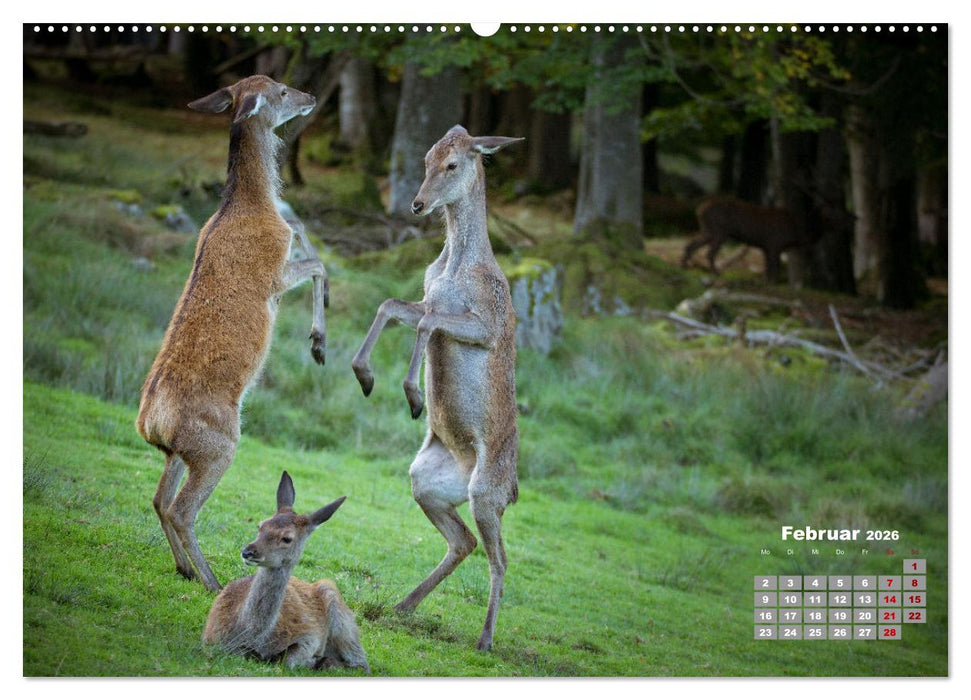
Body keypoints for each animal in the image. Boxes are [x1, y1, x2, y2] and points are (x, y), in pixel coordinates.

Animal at [136, 75, 329, 592]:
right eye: (280, 91)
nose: (310, 96)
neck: (251, 204)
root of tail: (151, 423)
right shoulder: (275, 273)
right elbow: (319, 263)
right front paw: (318, 342)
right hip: (219, 444)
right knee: (181, 509)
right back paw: (212, 581)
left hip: (177, 452)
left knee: (158, 499)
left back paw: (184, 568)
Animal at [202, 471, 369, 672]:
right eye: (261, 525)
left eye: (287, 538)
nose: (248, 551)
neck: (251, 636)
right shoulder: (211, 636)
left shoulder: (309, 635)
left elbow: (290, 659)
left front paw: (315, 660)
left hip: (340, 611)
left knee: (362, 663)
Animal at [351, 125, 522, 651]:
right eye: (426, 158)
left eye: (453, 164)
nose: (417, 204)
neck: (451, 270)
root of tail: (514, 490)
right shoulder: (427, 294)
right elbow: (392, 305)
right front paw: (364, 374)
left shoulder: (486, 323)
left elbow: (426, 322)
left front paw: (412, 393)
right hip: (426, 480)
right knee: (463, 541)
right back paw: (401, 606)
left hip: (486, 493)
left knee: (500, 557)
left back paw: (485, 639)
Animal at [682, 197, 821, 284]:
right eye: (812, 223)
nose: (812, 242)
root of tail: (698, 210)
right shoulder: (774, 244)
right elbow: (774, 266)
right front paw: (772, 282)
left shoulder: (767, 247)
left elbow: (768, 267)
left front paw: (767, 282)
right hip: (719, 231)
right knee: (709, 252)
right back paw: (716, 273)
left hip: (708, 230)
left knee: (691, 245)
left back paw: (684, 266)